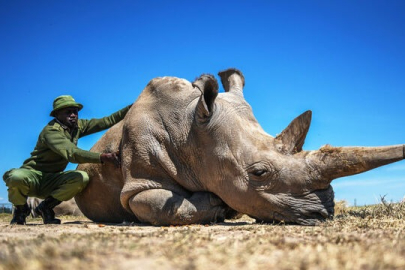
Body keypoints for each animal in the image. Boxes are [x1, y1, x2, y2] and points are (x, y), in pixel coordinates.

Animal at [74, 68, 402, 226]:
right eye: (259, 173)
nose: (324, 215)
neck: (189, 132)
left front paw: (225, 208)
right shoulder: (138, 182)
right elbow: (156, 206)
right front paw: (216, 205)